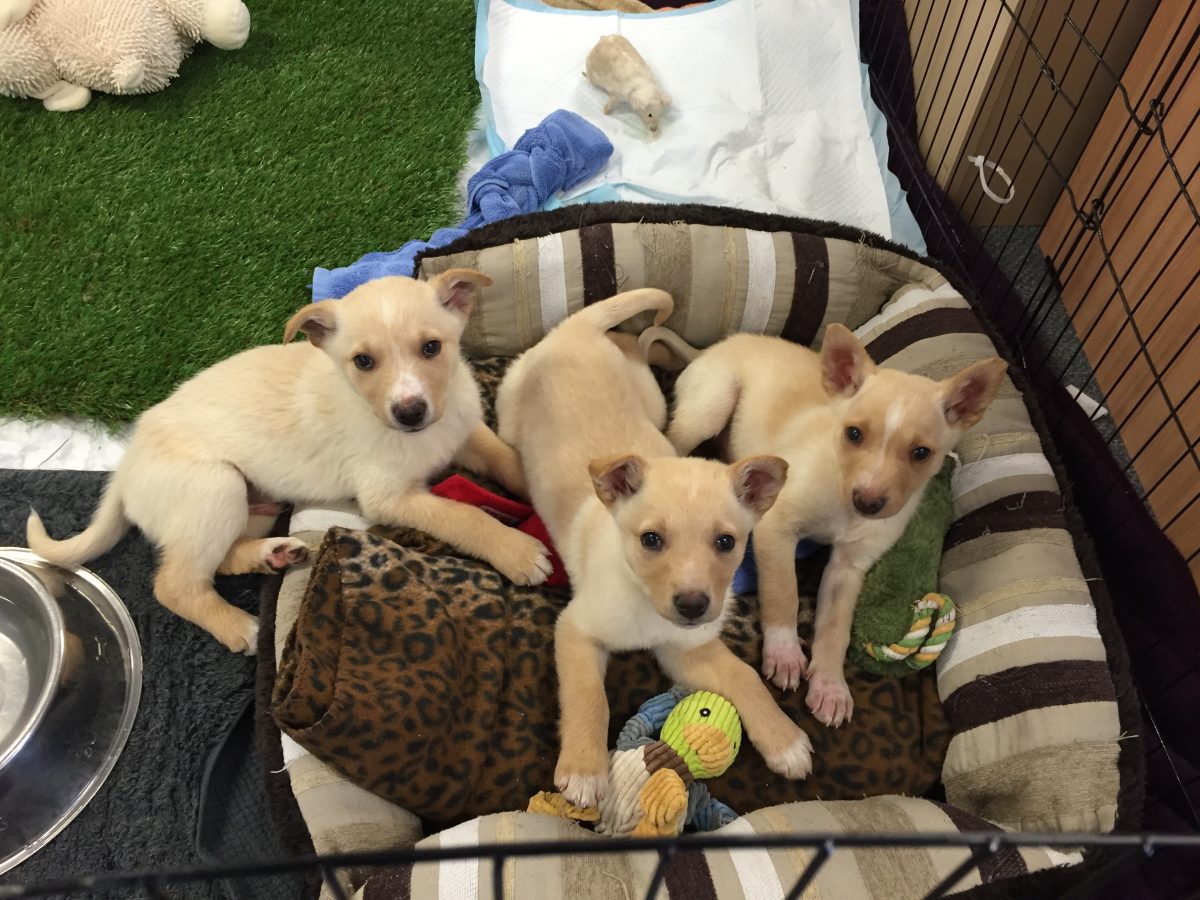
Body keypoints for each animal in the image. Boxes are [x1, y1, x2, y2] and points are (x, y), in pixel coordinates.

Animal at [28, 271, 549, 652]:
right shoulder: (389, 497)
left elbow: (507, 459)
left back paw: (272, 554)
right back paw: (240, 627)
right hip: (215, 488)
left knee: (216, 561)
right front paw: (518, 552)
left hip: (252, 503)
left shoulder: (464, 432)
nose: (410, 412)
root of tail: (124, 469)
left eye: (432, 348)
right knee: (175, 584)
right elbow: (463, 515)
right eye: (363, 362)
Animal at [496, 289, 816, 811]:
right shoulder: (576, 630)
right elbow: (590, 696)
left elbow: (745, 676)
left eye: (726, 542)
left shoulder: (687, 649)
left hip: (655, 401)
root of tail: (576, 329)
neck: (644, 603)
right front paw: (584, 771)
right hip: (509, 415)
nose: (693, 605)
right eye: (651, 540)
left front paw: (784, 739)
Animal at [643, 328, 1008, 729]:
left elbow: (836, 629)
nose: (868, 502)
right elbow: (783, 593)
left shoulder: (849, 568)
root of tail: (717, 345)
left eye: (921, 453)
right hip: (711, 405)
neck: (844, 508)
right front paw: (785, 653)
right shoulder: (776, 531)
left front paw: (831, 687)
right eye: (853, 434)